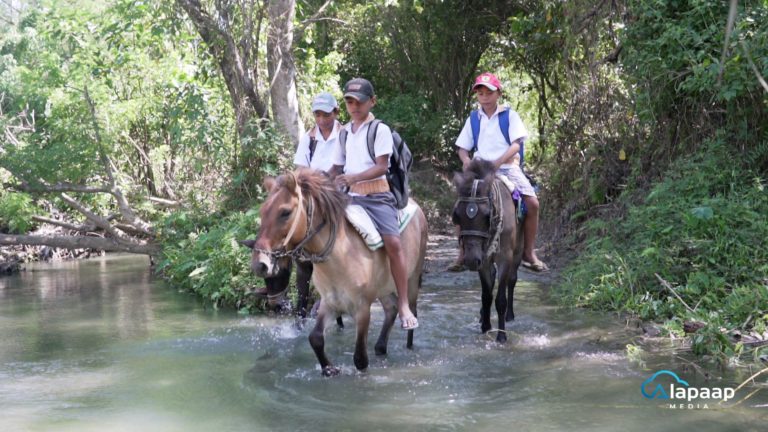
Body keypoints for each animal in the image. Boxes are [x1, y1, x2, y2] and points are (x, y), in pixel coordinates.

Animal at [243, 167, 428, 376]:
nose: (260, 264)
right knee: (391, 308)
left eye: (285, 212)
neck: (339, 258)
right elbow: (315, 338)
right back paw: (381, 347)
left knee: (410, 308)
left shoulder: (362, 308)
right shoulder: (329, 303)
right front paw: (330, 369)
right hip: (383, 288)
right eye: (262, 211)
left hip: (412, 278)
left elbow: (360, 359)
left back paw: (409, 341)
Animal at [452, 160, 524, 342]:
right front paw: (485, 326)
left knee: (512, 279)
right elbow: (486, 295)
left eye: (486, 216)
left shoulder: (505, 257)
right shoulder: (482, 260)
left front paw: (501, 335)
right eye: (457, 216)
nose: (470, 260)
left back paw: (510, 315)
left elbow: (500, 300)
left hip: (518, 251)